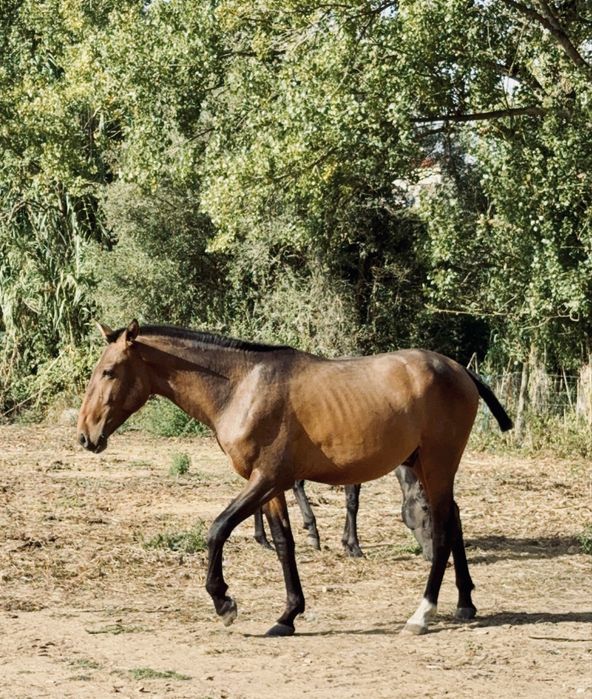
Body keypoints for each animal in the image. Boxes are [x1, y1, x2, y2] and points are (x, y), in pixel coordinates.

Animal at [78, 320, 512, 636]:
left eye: (109, 371)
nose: (86, 435)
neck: (242, 387)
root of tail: (459, 370)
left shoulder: (266, 479)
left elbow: (217, 530)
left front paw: (224, 602)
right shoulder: (272, 486)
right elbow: (284, 544)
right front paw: (288, 615)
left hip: (437, 465)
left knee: (442, 529)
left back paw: (422, 614)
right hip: (426, 466)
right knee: (454, 520)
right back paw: (465, 602)